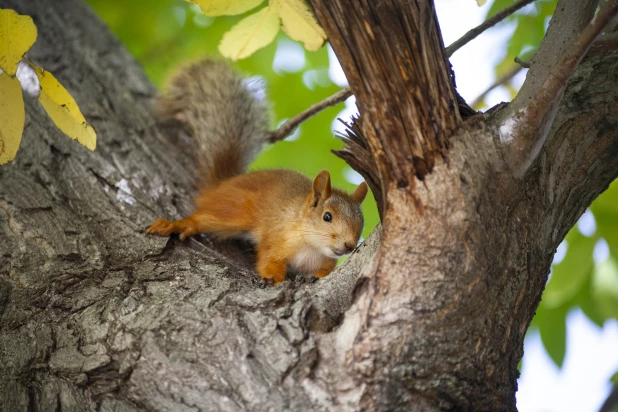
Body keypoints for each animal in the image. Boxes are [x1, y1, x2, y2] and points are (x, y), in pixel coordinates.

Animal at [146, 61, 366, 284]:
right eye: (327, 216)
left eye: (362, 221)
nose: (349, 245)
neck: (312, 246)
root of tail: (222, 184)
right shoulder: (275, 238)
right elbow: (269, 260)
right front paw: (274, 279)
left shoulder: (325, 262)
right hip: (235, 212)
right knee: (202, 218)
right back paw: (179, 224)